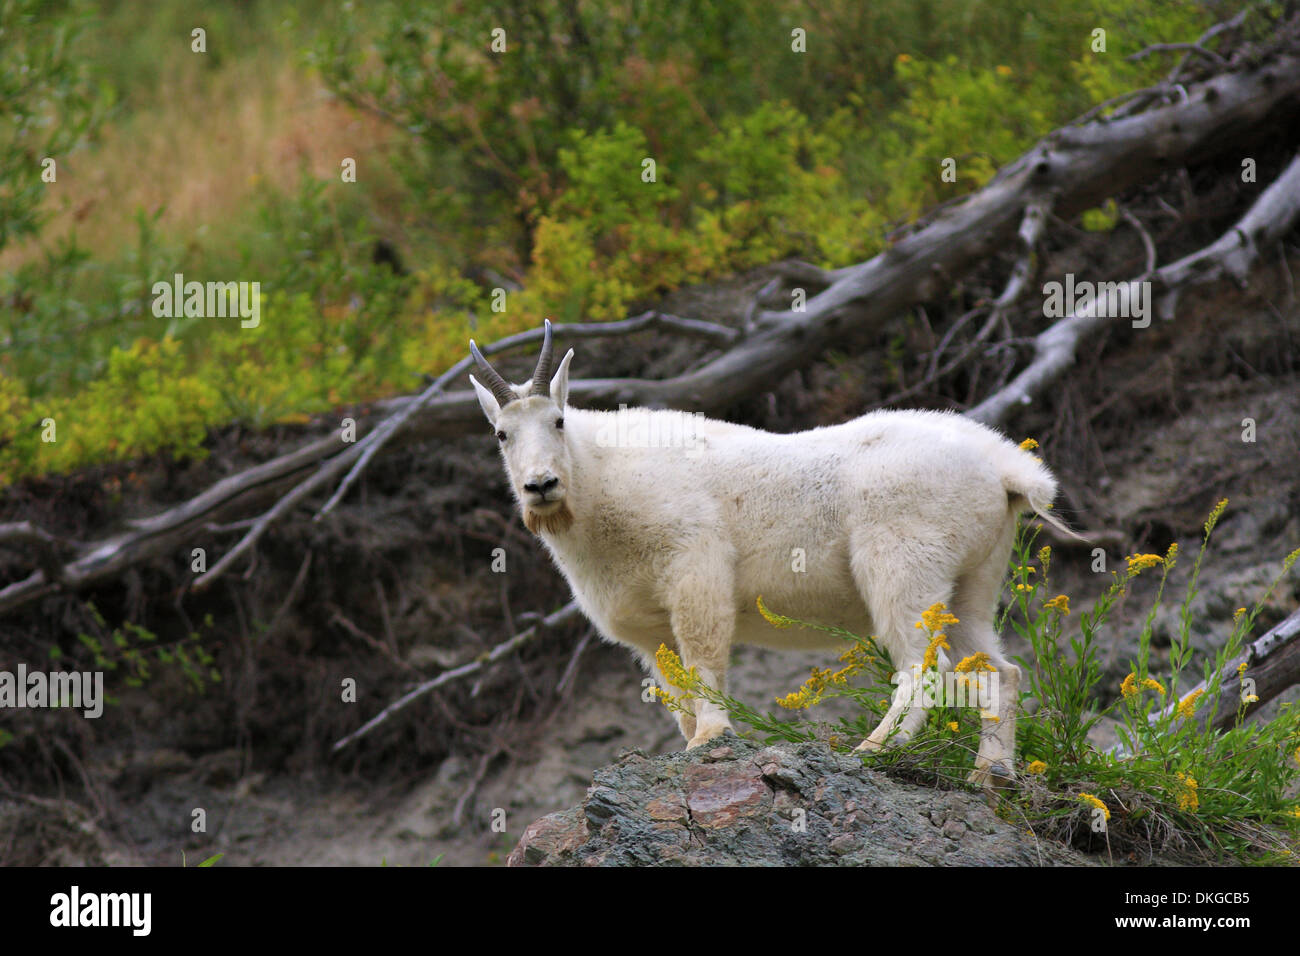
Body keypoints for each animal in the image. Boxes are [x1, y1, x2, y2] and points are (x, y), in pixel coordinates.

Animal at [470, 321, 1076, 785]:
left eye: (558, 420)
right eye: (501, 434)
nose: (541, 486)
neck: (599, 481)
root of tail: (1006, 469)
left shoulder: (697, 567)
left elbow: (703, 659)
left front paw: (711, 740)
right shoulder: (644, 627)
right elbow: (674, 689)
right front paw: (691, 742)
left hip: (902, 564)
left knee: (925, 666)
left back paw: (870, 751)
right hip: (974, 579)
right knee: (999, 671)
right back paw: (990, 779)